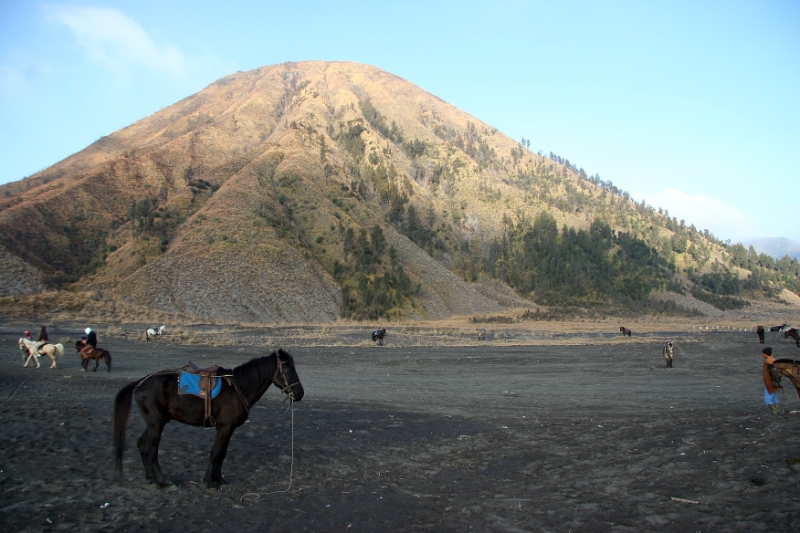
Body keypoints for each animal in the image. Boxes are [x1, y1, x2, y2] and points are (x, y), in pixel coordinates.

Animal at [109, 348, 304, 488]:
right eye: (288, 369)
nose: (300, 393)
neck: (238, 389)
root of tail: (141, 382)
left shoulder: (228, 429)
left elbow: (221, 454)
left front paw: (218, 479)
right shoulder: (225, 427)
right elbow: (216, 453)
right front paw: (210, 481)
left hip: (154, 424)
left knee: (142, 445)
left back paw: (151, 479)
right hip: (156, 425)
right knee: (150, 450)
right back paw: (163, 482)